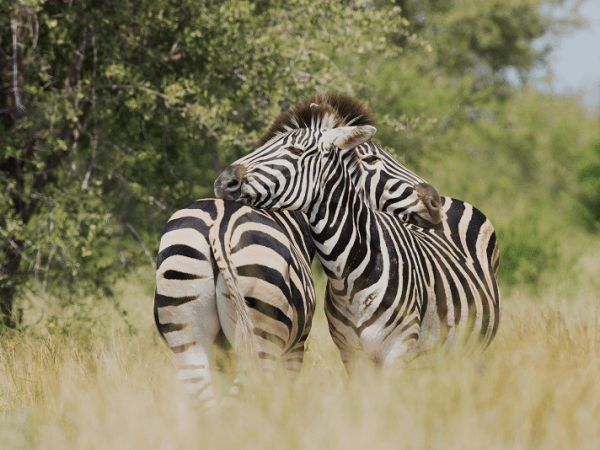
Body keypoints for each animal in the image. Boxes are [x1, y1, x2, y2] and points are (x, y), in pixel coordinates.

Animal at [152, 199, 316, 406]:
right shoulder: (296, 347)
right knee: (245, 390)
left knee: (199, 388)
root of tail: (220, 224)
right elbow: (288, 391)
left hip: (186, 323)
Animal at [216, 93, 502, 370]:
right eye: (371, 159)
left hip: (472, 351)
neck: (350, 275)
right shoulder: (351, 354)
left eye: (295, 150)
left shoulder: (398, 350)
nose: (434, 202)